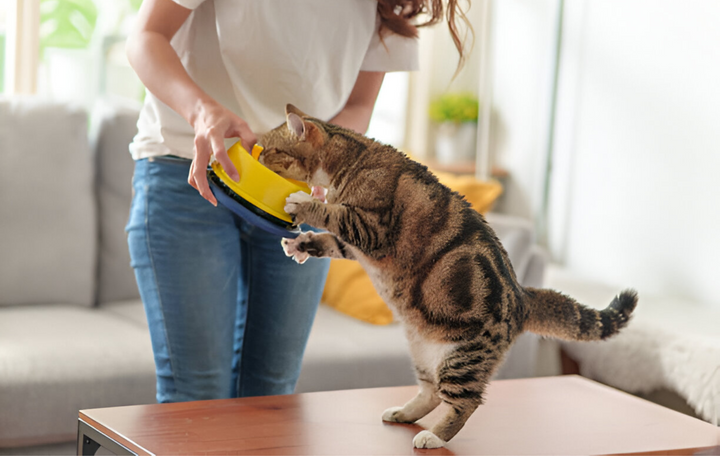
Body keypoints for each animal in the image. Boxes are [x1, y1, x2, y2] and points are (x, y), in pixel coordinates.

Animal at [258, 103, 636, 448]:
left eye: (269, 149)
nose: (255, 156)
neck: (355, 159)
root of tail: (522, 297)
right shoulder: (356, 244)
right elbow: (331, 240)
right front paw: (301, 244)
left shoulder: (371, 228)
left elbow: (330, 213)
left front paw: (302, 203)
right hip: (423, 351)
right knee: (433, 392)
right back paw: (403, 413)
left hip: (463, 358)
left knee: (466, 401)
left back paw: (435, 436)